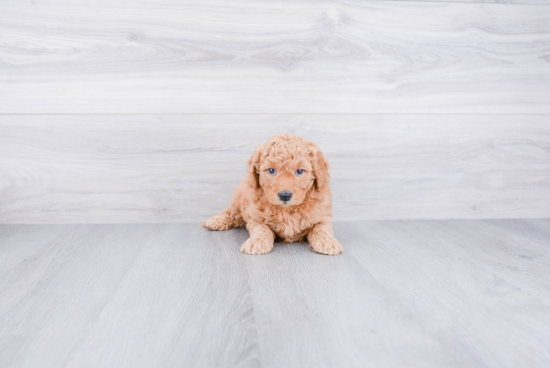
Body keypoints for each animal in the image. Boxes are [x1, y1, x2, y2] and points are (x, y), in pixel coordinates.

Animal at [203, 133, 342, 256]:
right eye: (271, 170)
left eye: (300, 171)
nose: (285, 195)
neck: (287, 210)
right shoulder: (256, 217)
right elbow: (262, 230)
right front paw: (257, 242)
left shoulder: (322, 216)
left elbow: (322, 229)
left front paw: (329, 242)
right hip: (240, 196)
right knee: (233, 212)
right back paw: (217, 220)